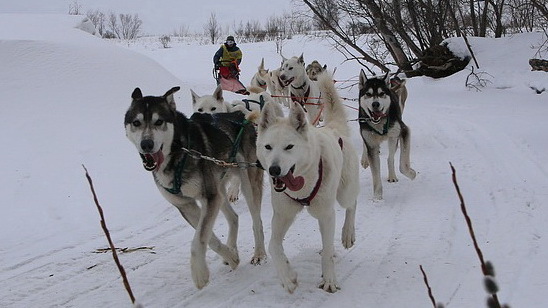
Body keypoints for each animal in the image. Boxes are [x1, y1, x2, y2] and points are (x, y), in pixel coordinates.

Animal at [127, 86, 268, 288]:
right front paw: (231, 257)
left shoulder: (209, 198)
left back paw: (260, 253)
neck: (178, 152)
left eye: (159, 121)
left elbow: (198, 241)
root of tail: (239, 115)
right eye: (136, 122)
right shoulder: (187, 204)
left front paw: (199, 273)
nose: (146, 144)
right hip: (219, 190)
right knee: (233, 217)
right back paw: (232, 248)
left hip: (247, 183)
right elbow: (209, 239)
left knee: (257, 221)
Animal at [256, 71, 360, 294]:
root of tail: (333, 128)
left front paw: (329, 280)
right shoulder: (283, 215)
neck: (302, 184)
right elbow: (273, 246)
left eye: (289, 147)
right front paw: (288, 277)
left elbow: (328, 251)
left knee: (352, 204)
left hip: (343, 193)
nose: (274, 170)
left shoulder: (326, 214)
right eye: (268, 147)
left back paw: (348, 233)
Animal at [358, 70, 418, 200]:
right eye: (368, 94)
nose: (375, 104)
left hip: (393, 139)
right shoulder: (371, 145)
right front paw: (377, 197)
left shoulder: (403, 131)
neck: (379, 123)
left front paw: (411, 174)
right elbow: (376, 175)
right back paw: (364, 160)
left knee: (390, 158)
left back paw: (392, 176)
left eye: (382, 94)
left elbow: (403, 165)